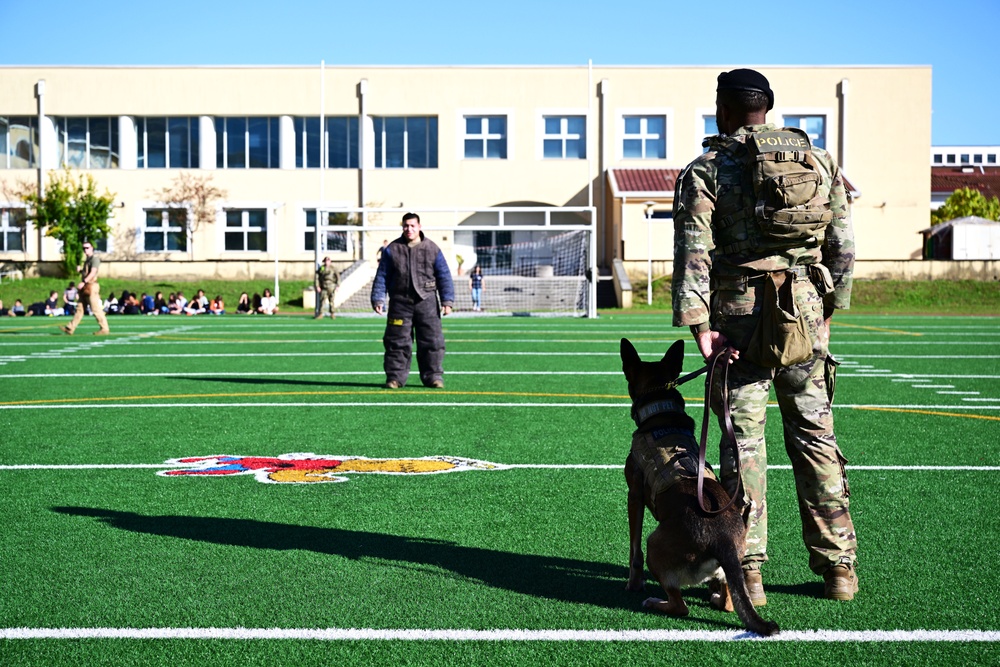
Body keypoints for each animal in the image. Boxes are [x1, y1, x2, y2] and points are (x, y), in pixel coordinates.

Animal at [620, 340, 776, 636]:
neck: (660, 410)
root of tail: (723, 542)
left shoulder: (633, 497)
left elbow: (634, 550)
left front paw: (633, 585)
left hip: (655, 542)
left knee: (680, 606)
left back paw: (656, 602)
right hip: (731, 569)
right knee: (729, 601)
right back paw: (716, 597)